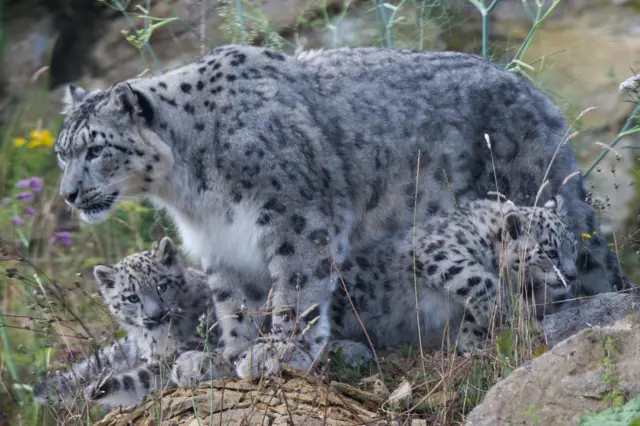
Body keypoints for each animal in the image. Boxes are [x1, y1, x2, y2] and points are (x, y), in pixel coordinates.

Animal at [52, 45, 624, 380]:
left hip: (532, 191)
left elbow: (295, 288)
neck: (190, 194)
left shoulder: (294, 218)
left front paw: (279, 352)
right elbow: (231, 305)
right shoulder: (219, 245)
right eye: (62, 152)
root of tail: (538, 94)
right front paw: (227, 356)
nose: (70, 194)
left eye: (96, 149)